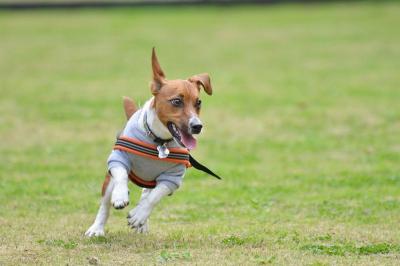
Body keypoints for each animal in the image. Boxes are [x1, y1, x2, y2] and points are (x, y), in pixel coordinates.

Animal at [85, 47, 212, 237]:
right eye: (177, 101)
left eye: (199, 102)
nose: (197, 126)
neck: (159, 140)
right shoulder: (118, 158)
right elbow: (121, 175)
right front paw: (120, 196)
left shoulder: (173, 177)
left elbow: (155, 196)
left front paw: (139, 215)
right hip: (108, 182)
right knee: (105, 204)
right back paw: (97, 228)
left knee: (147, 192)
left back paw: (142, 221)